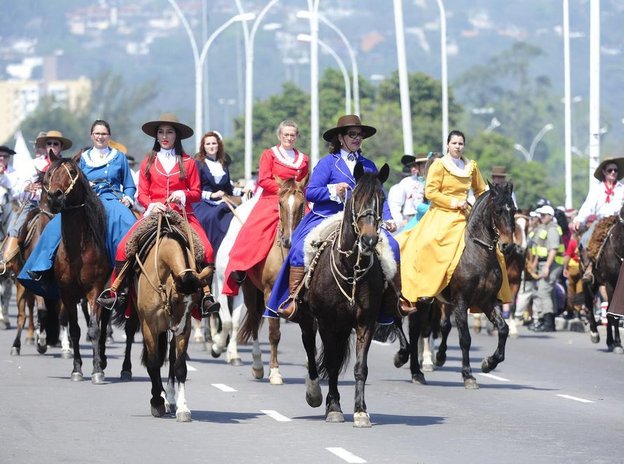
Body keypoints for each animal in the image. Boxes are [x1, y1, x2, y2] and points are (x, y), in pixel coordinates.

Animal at [43, 158, 111, 382]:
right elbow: (75, 330)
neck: (77, 252)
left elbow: (95, 329)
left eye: (72, 172)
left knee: (104, 326)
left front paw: (97, 370)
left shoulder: (95, 291)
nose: (55, 196)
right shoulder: (67, 294)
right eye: (49, 173)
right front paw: (77, 370)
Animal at [238, 175, 308, 384]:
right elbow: (274, 333)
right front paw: (275, 371)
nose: (288, 241)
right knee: (254, 320)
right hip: (250, 291)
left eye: (302, 204)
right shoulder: (270, 294)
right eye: (280, 203)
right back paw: (258, 366)